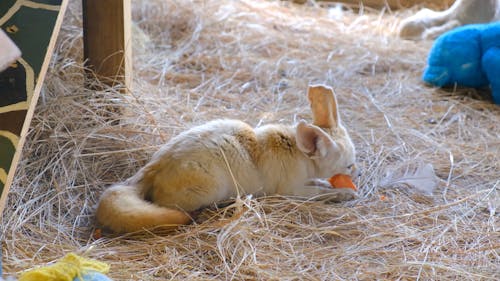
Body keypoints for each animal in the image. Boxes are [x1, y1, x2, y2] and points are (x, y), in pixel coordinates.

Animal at [95, 84, 358, 233]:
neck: (298, 152)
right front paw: (344, 193)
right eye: (350, 165)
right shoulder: (291, 191)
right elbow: (321, 194)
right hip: (211, 188)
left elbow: (320, 183)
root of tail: (151, 168)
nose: (360, 173)